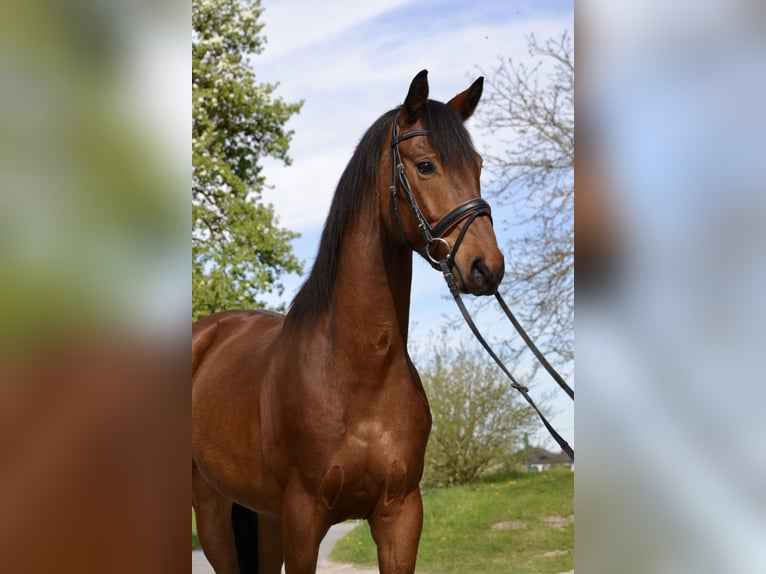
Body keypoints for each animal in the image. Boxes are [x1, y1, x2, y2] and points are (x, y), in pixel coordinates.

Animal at [192, 69, 505, 574]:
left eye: (477, 165)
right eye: (425, 166)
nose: (486, 267)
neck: (358, 369)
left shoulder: (400, 514)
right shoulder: (303, 518)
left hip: (261, 516)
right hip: (212, 506)